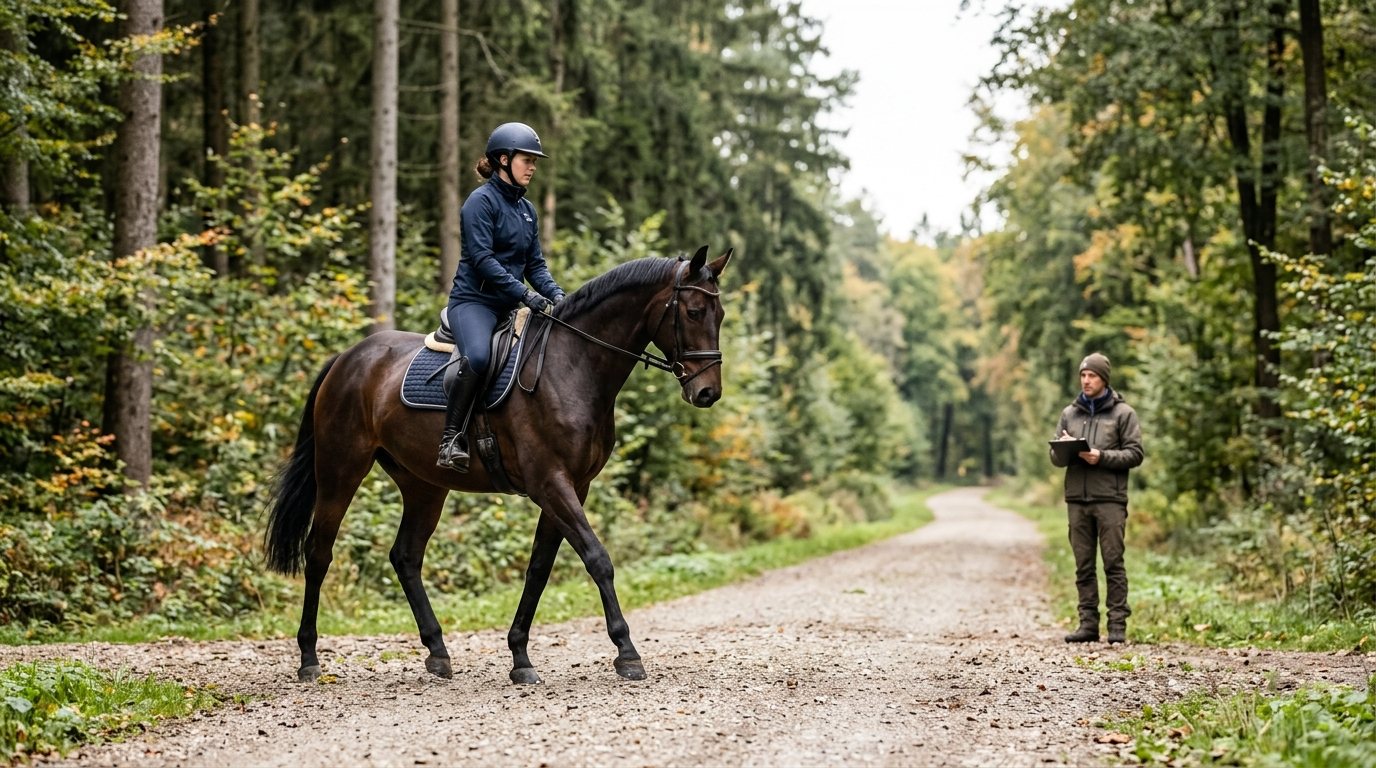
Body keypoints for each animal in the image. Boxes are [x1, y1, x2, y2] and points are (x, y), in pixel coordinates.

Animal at [264, 245, 733, 684]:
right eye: (694, 311)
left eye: (721, 314)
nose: (707, 392)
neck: (572, 367)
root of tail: (347, 359)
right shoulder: (551, 483)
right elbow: (597, 558)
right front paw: (627, 652)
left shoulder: (572, 487)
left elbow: (539, 569)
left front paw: (520, 656)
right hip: (340, 470)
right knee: (319, 553)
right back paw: (309, 659)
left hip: (423, 484)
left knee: (405, 556)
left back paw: (438, 652)